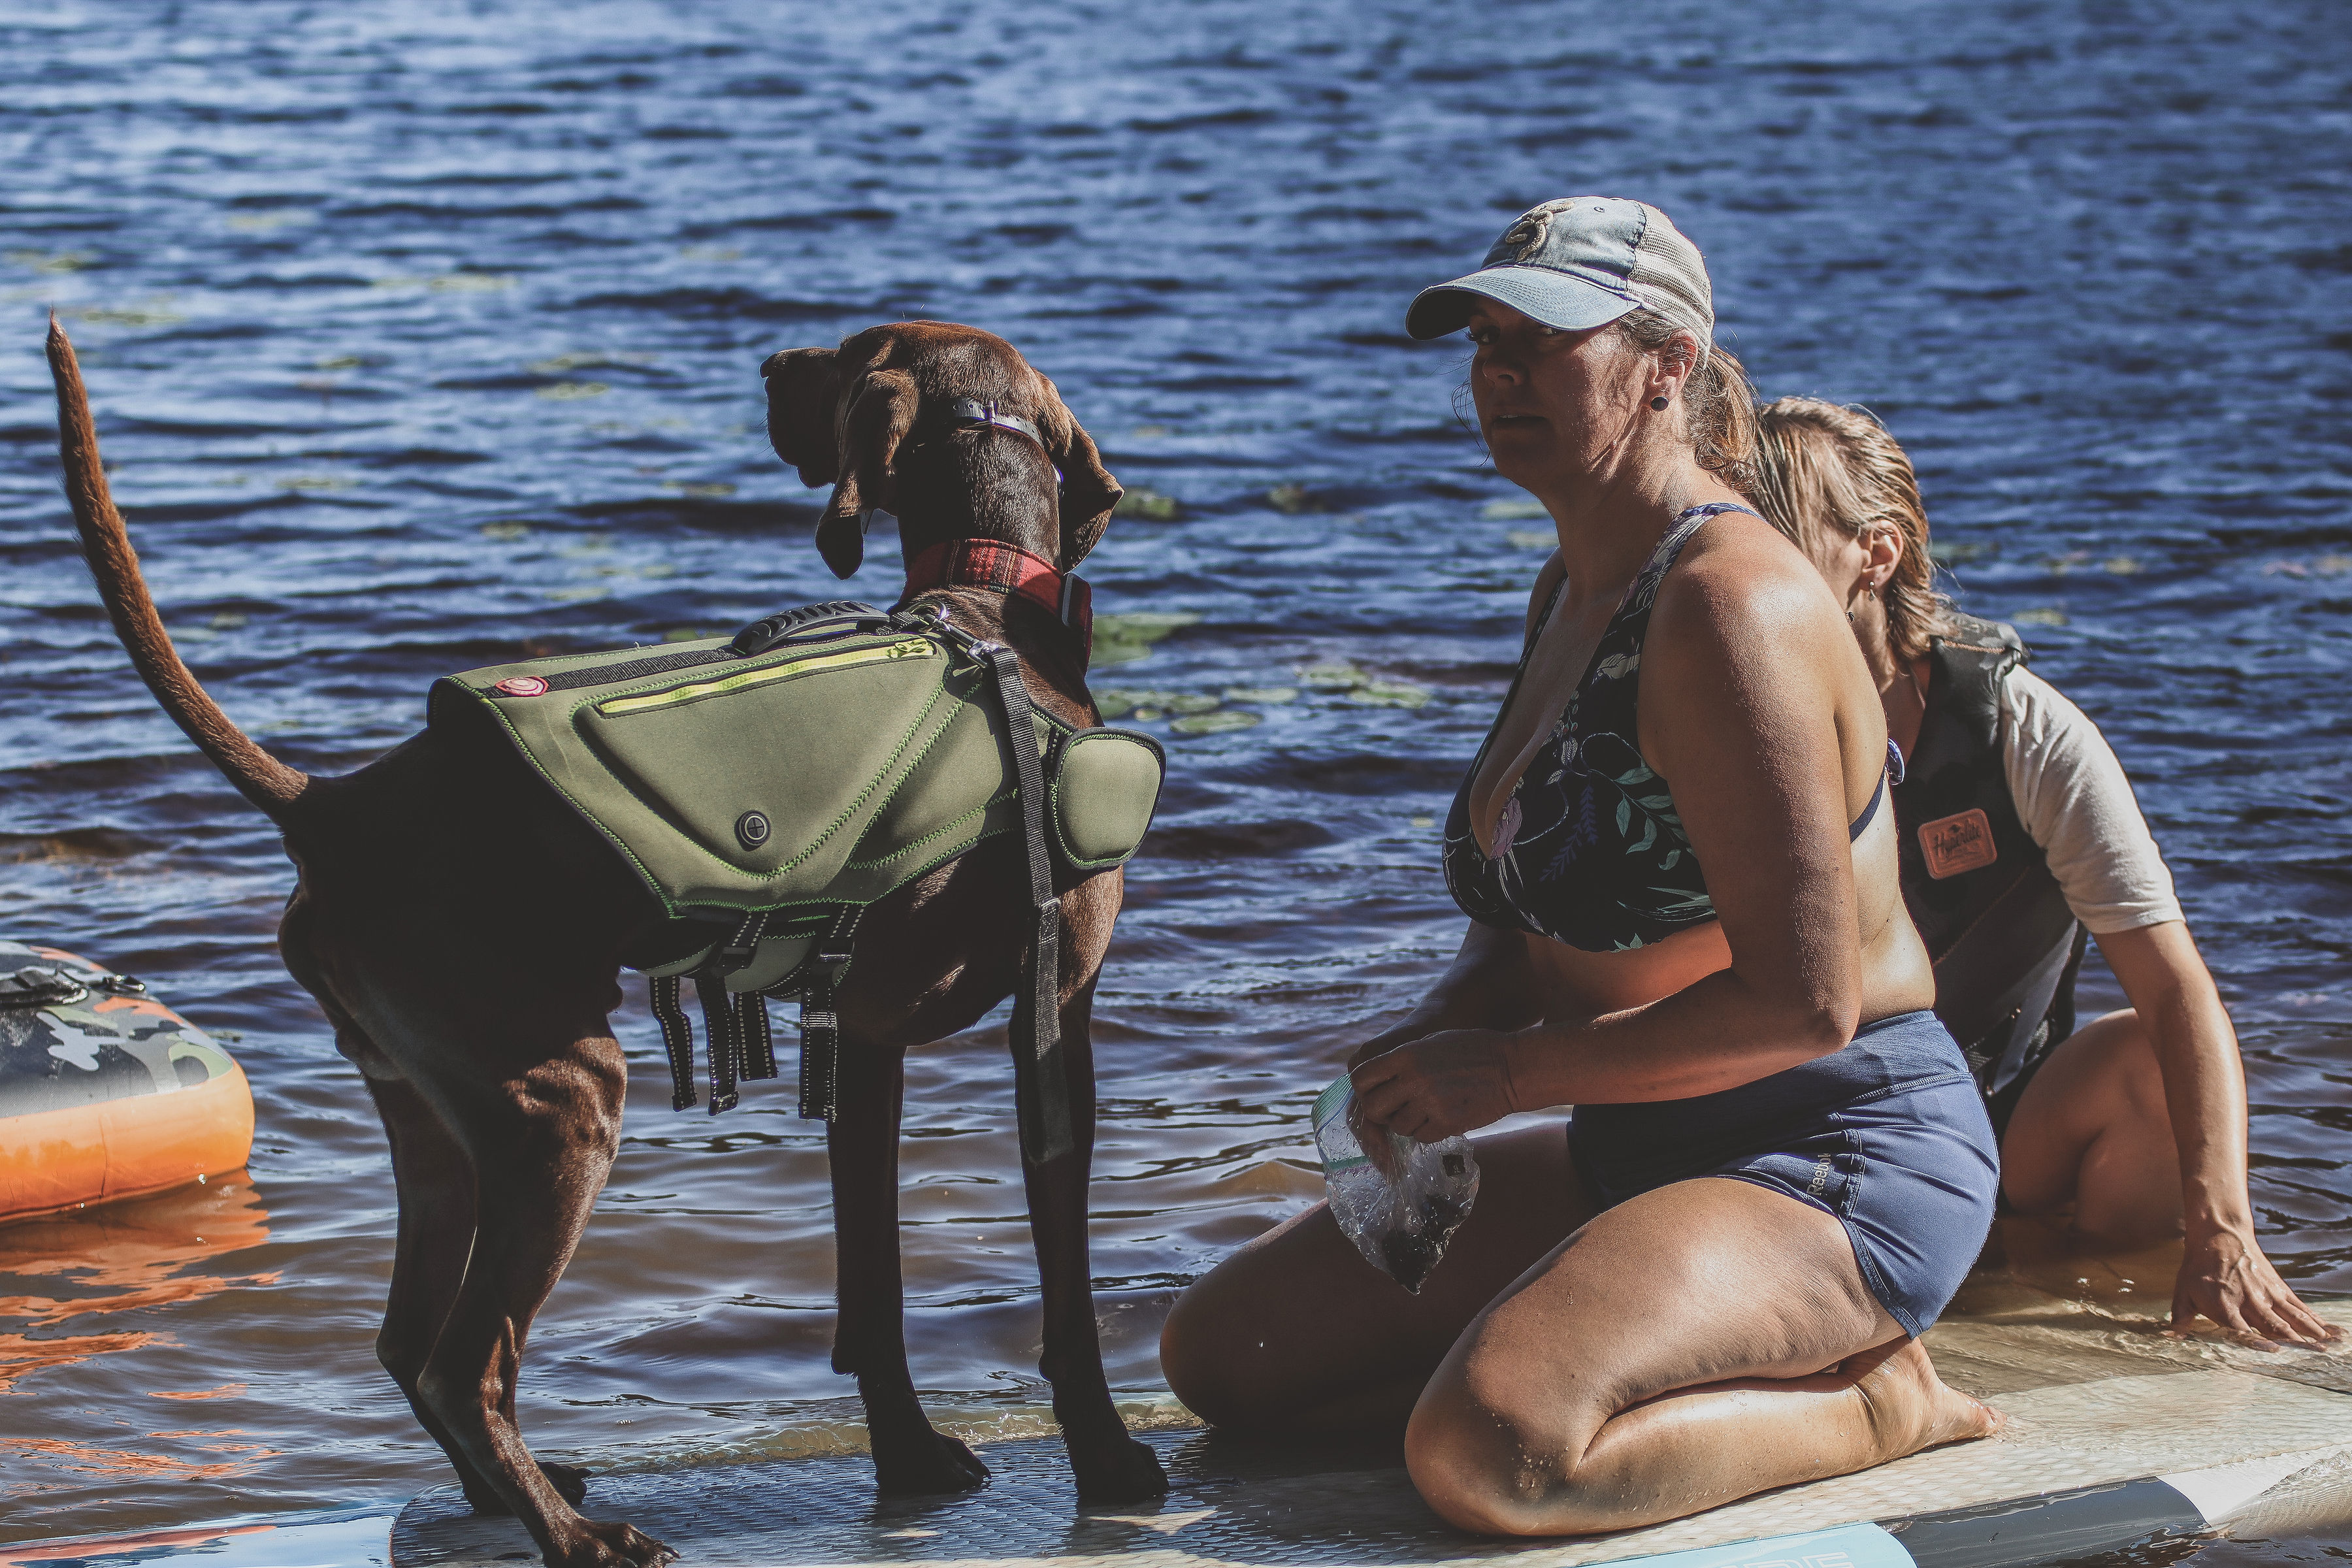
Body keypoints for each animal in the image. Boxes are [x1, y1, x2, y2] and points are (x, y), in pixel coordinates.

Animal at [47, 318, 1170, 1568]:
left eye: (847, 349)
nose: (769, 364)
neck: (982, 600)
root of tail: (330, 806)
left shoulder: (864, 1041)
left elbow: (871, 1288)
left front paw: (911, 1460)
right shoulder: (1053, 1012)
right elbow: (1066, 1296)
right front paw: (1109, 1460)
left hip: (439, 1116)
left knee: (412, 1345)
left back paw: (512, 1497)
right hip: (564, 1101)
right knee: (465, 1360)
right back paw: (579, 1536)